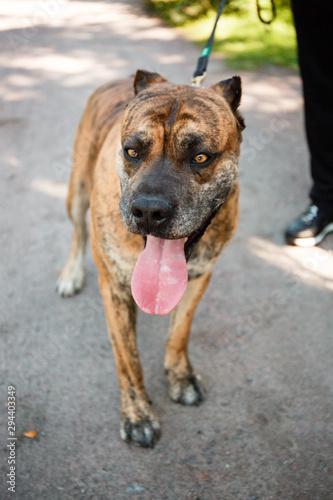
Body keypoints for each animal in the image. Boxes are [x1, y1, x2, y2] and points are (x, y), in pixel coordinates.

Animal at [56, 68, 244, 448]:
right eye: (132, 151)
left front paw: (180, 377)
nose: (148, 211)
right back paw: (70, 274)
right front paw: (138, 415)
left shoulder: (200, 277)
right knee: (78, 231)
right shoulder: (113, 289)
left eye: (201, 157)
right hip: (77, 191)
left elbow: (179, 332)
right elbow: (128, 361)